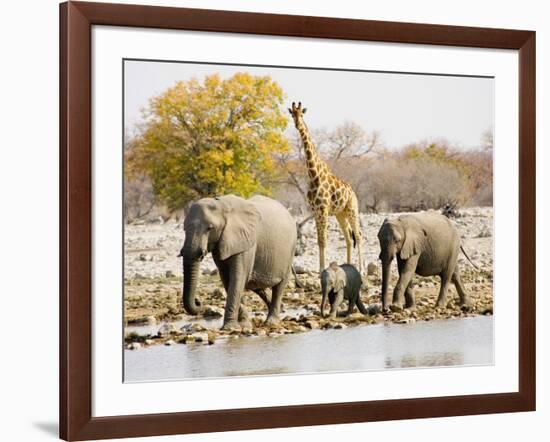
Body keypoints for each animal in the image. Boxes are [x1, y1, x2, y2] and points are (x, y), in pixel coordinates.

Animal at [180, 195, 298, 330]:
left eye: (210, 228)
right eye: (184, 229)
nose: (199, 301)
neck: (221, 204)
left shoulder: (246, 242)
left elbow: (237, 279)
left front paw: (229, 328)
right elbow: (227, 279)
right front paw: (244, 324)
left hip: (290, 250)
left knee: (279, 286)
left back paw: (271, 322)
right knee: (256, 286)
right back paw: (281, 309)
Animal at [292, 102, 364, 272]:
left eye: (302, 114)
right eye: (292, 114)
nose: (298, 124)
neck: (313, 175)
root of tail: (353, 193)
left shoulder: (323, 209)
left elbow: (323, 240)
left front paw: (321, 269)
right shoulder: (316, 211)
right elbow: (319, 240)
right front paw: (320, 269)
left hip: (352, 209)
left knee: (358, 235)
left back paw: (362, 269)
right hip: (340, 214)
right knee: (348, 238)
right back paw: (349, 265)